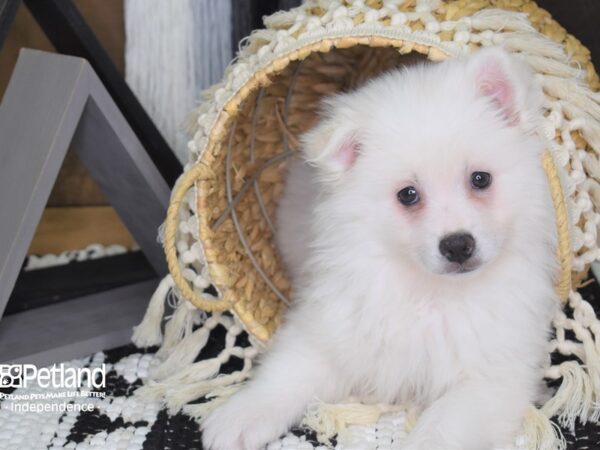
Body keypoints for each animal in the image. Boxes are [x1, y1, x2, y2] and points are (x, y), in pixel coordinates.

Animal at [202, 48, 556, 450]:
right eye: (408, 195)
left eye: (480, 179)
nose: (458, 245)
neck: (431, 293)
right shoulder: (332, 329)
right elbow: (287, 373)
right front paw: (238, 416)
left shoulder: (491, 376)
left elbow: (441, 428)